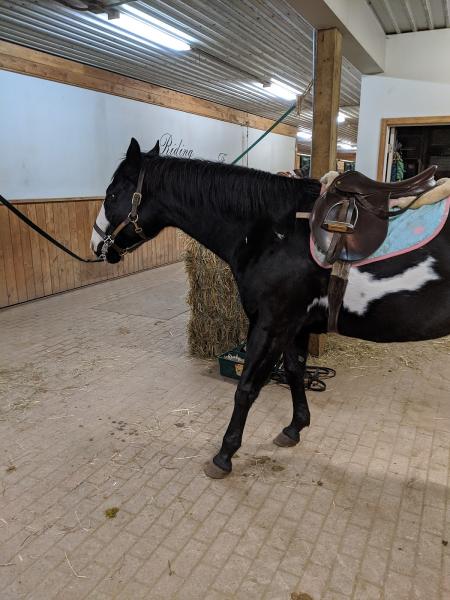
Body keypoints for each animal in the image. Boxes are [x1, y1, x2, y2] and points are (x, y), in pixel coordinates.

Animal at [91, 138, 450, 480]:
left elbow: (246, 389)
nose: (96, 246)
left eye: (112, 194)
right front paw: (294, 427)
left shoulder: (270, 325)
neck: (276, 231)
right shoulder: (295, 326)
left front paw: (224, 455)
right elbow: (294, 371)